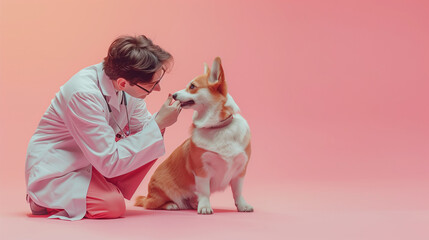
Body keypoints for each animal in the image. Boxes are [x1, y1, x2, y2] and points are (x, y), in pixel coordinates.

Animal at [135, 57, 252, 214]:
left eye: (192, 86)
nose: (173, 95)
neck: (217, 127)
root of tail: (148, 194)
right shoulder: (201, 170)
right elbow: (204, 191)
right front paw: (205, 207)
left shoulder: (240, 171)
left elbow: (238, 192)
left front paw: (243, 206)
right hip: (161, 192)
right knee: (150, 203)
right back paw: (171, 205)